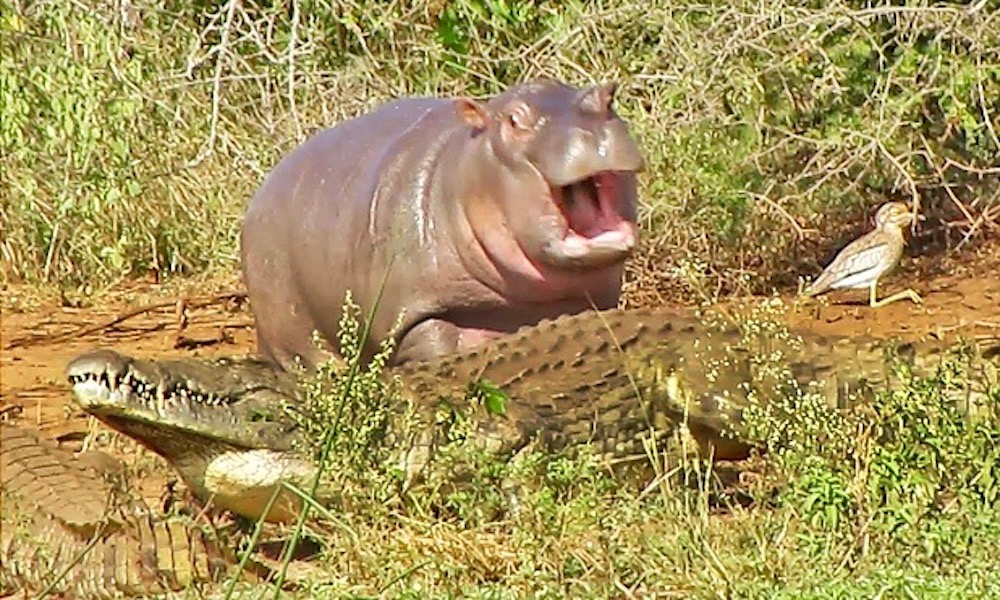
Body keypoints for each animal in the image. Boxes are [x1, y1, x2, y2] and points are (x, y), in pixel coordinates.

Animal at [243, 79, 648, 370]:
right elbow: (435, 339)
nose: (591, 132)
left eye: (609, 97)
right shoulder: (408, 311)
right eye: (514, 120)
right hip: (285, 324)